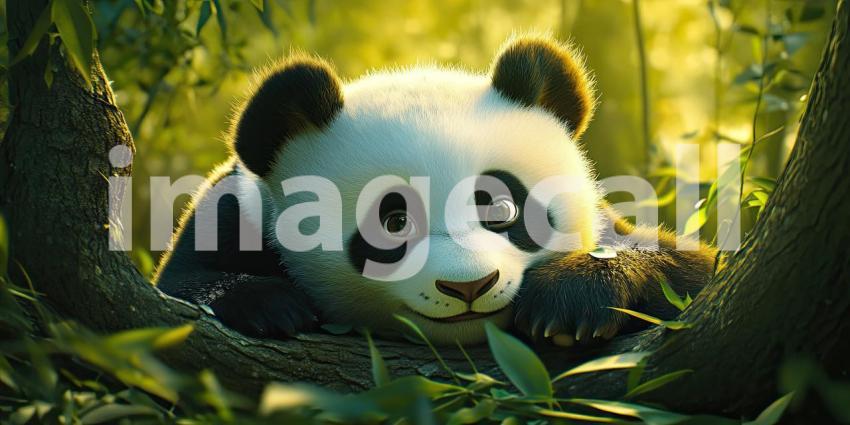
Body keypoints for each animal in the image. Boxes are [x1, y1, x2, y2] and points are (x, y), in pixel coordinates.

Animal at [154, 36, 715, 346]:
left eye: (503, 207)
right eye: (393, 222)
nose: (469, 286)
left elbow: (689, 269)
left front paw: (572, 299)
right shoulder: (233, 212)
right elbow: (181, 282)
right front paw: (271, 305)